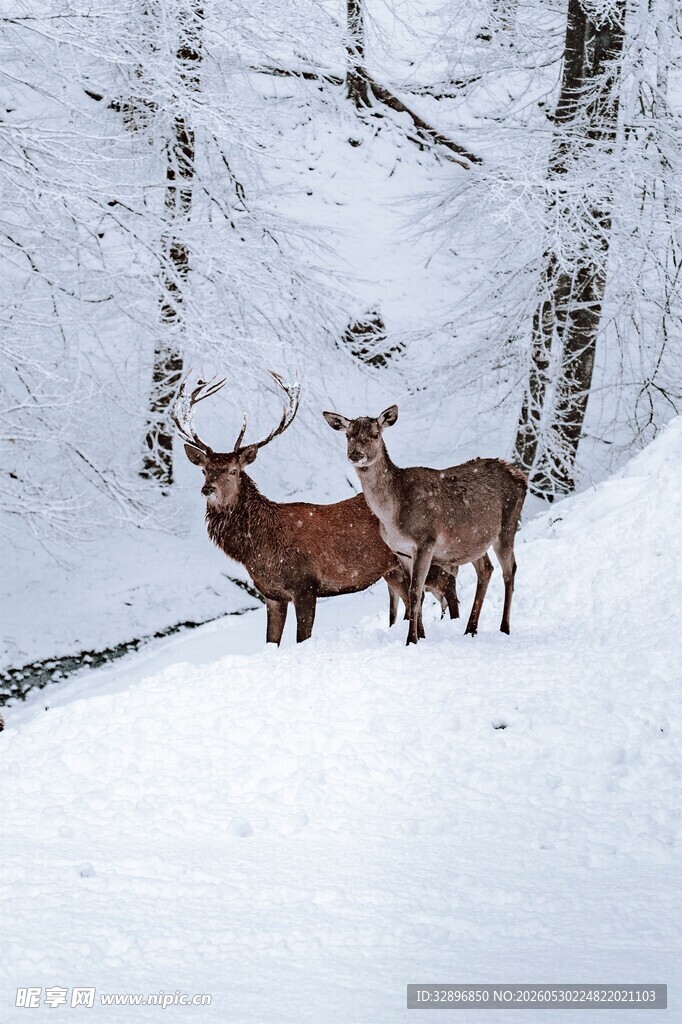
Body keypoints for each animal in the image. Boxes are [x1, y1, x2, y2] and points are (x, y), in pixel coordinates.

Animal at [174, 374, 459, 644]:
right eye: (205, 470)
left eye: (233, 471)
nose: (207, 489)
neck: (258, 549)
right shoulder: (271, 594)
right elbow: (271, 642)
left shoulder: (305, 585)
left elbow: (302, 638)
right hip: (393, 571)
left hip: (428, 554)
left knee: (447, 585)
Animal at [323, 405, 528, 645]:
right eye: (348, 435)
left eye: (375, 434)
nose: (356, 455)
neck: (392, 517)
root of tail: (522, 477)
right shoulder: (401, 551)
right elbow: (416, 593)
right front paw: (421, 635)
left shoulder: (425, 542)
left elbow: (414, 591)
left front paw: (411, 639)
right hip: (473, 541)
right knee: (486, 569)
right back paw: (470, 628)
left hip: (507, 525)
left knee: (510, 570)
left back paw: (504, 627)